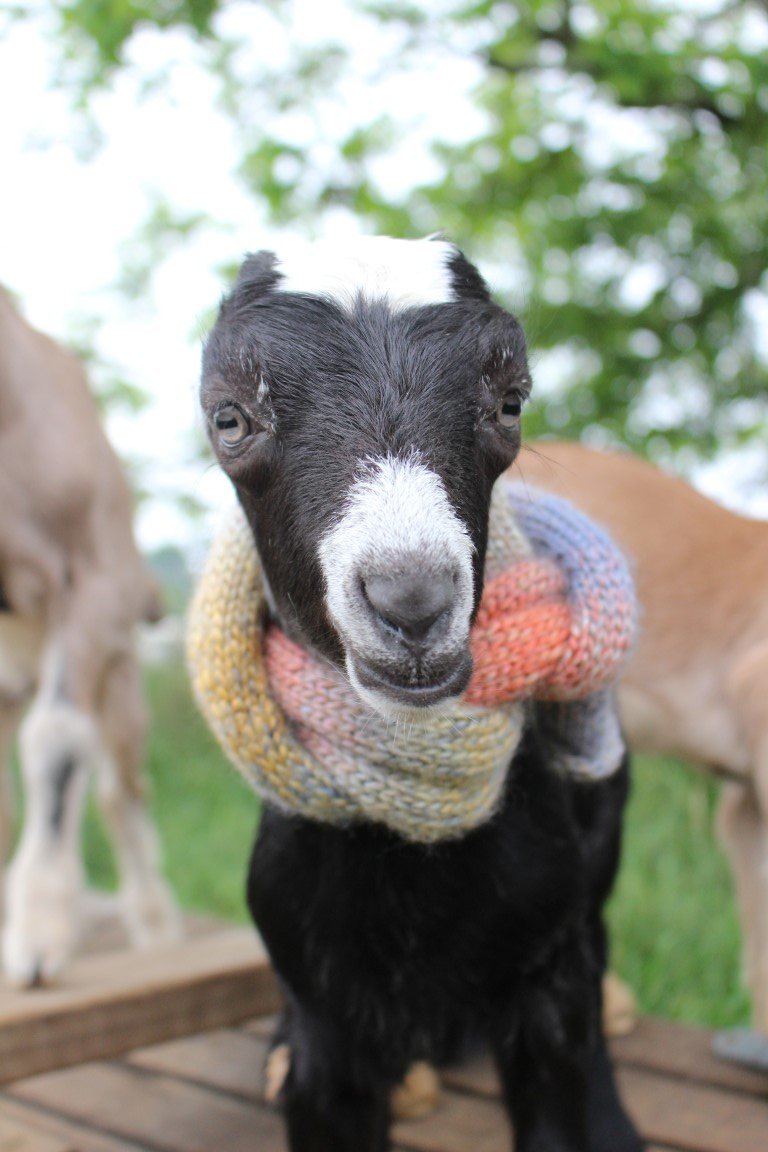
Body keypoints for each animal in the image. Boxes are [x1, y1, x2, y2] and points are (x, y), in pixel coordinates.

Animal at [0, 285, 178, 981]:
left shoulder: (95, 581)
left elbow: (57, 739)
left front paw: (37, 939)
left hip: (122, 679)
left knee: (121, 790)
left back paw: (155, 926)